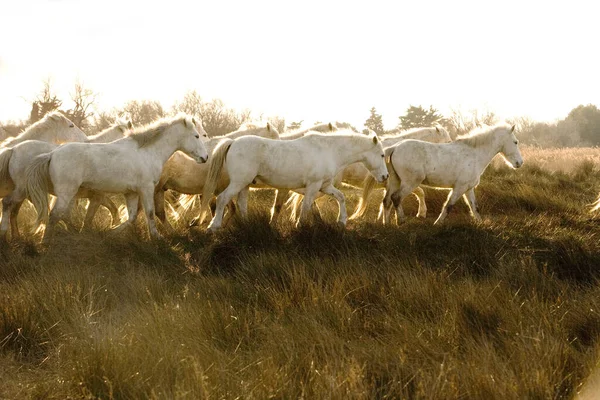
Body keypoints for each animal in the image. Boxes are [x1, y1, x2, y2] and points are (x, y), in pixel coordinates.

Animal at [0, 117, 132, 239]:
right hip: (23, 190)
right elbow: (89, 216)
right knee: (9, 205)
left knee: (14, 211)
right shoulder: (96, 196)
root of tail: (13, 149)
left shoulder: (94, 195)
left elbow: (112, 208)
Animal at [25, 114, 209, 239]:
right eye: (197, 135)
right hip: (66, 194)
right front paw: (157, 237)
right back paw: (46, 243)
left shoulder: (132, 193)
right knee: (54, 216)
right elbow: (150, 213)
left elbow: (131, 217)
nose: (205, 157)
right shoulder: (147, 189)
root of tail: (52, 154)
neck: (147, 152)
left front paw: (110, 232)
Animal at [199, 131, 392, 231]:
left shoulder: (325, 186)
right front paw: (300, 226)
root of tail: (232, 142)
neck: (329, 151)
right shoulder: (313, 186)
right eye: (382, 155)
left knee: (241, 204)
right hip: (239, 182)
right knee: (222, 199)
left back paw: (247, 226)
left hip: (244, 185)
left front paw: (342, 221)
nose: (385, 176)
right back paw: (213, 226)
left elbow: (341, 197)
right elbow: (305, 207)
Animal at [354, 123, 524, 225]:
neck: (474, 154)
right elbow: (448, 206)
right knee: (396, 198)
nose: (519, 163)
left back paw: (387, 224)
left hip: (395, 181)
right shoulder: (459, 188)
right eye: (515, 142)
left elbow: (474, 207)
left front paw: (481, 224)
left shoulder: (468, 189)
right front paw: (437, 224)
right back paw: (401, 221)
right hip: (410, 182)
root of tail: (394, 147)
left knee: (387, 201)